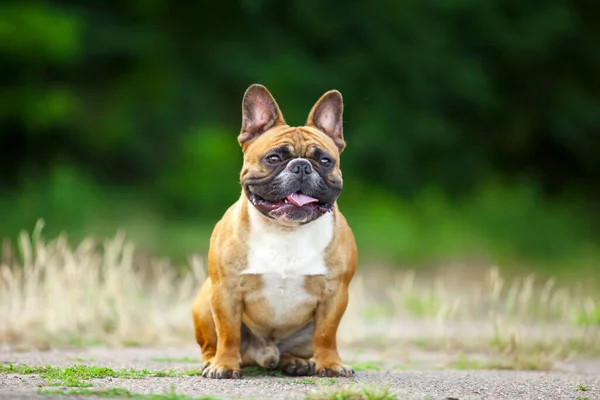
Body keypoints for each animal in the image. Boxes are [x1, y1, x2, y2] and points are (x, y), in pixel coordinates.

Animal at [192, 83, 356, 378]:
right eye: (274, 158)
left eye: (325, 161)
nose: (302, 166)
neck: (285, 230)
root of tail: (263, 353)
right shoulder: (225, 293)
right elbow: (228, 333)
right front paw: (224, 365)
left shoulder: (335, 294)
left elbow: (327, 334)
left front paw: (330, 364)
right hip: (203, 302)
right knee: (212, 344)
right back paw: (212, 361)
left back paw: (298, 362)